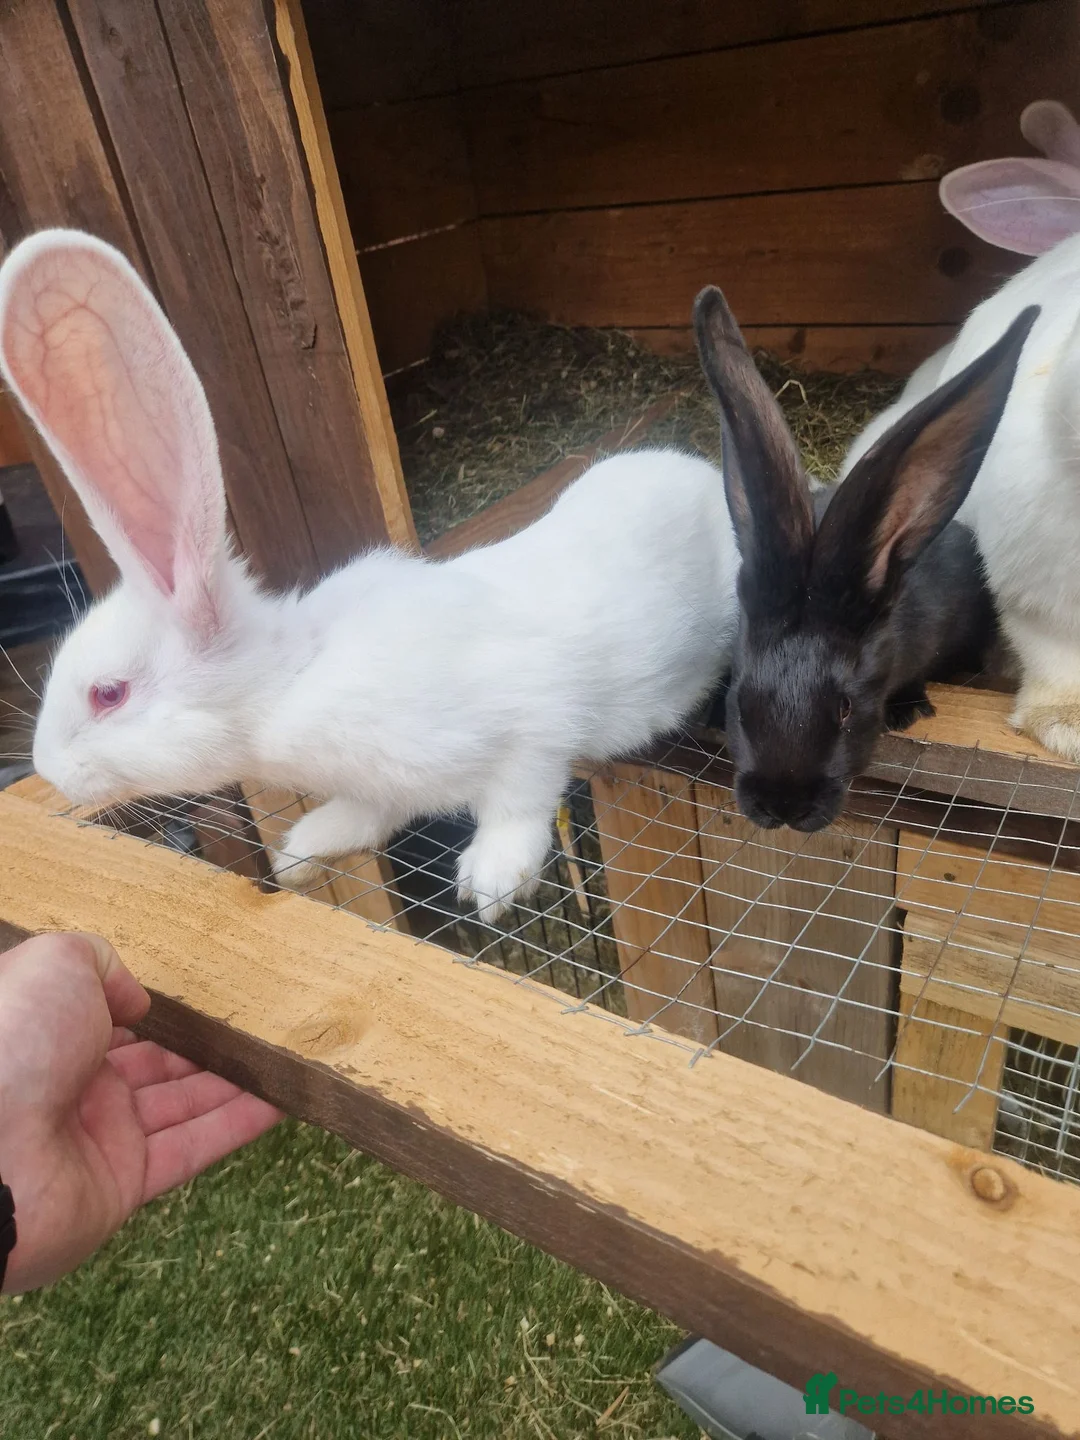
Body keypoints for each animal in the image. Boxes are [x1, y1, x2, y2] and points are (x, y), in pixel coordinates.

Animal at [0, 229, 741, 920]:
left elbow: (522, 791)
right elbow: (361, 818)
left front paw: (493, 882)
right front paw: (299, 851)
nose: (49, 771)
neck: (290, 682)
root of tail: (704, 474)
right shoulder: (381, 790)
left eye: (108, 693)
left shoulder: (532, 719)